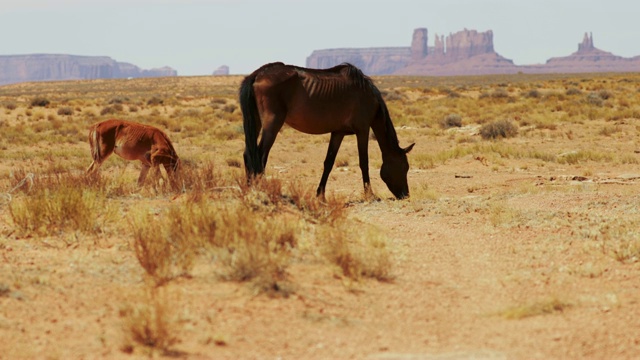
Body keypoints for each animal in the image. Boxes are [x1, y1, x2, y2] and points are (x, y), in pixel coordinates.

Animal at [240, 60, 416, 198]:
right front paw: (369, 194)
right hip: (272, 125)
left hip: (256, 122)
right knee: (260, 156)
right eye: (404, 167)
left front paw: (320, 194)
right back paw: (262, 189)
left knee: (249, 154)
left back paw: (250, 189)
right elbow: (364, 162)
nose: (405, 195)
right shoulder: (363, 130)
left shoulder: (338, 133)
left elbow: (329, 163)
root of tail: (258, 74)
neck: (367, 96)